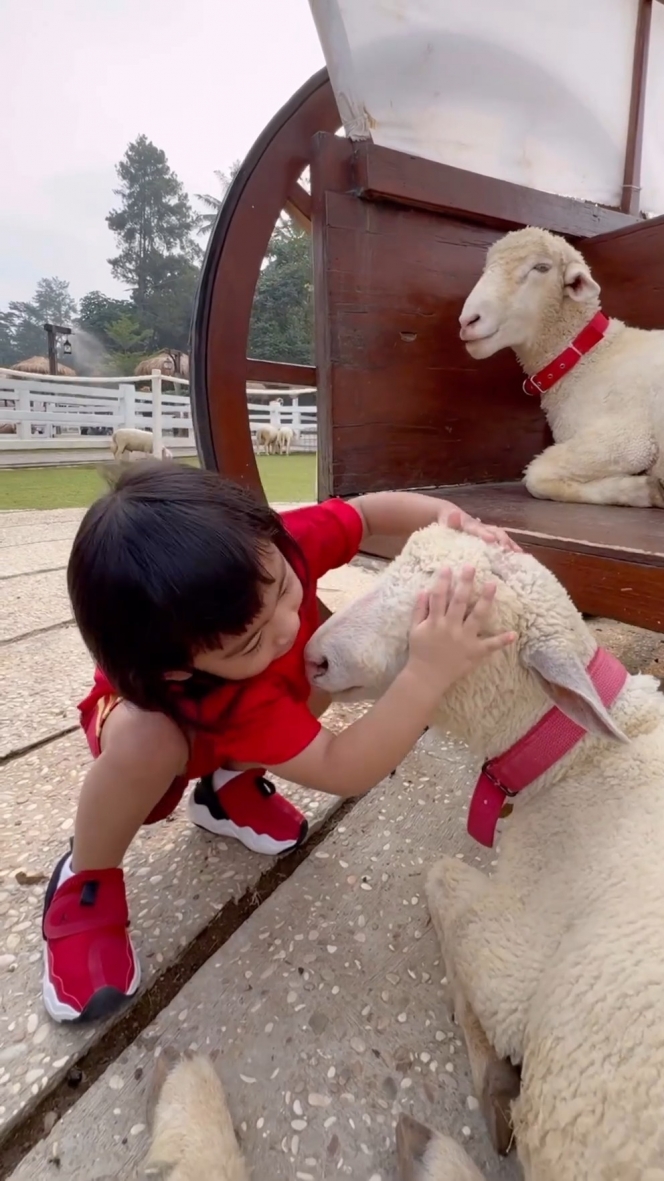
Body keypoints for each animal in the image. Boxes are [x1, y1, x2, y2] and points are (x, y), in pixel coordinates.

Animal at [307, 526, 664, 1181]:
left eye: (451, 615)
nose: (313, 657)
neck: (583, 762)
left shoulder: (516, 964)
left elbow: (443, 880)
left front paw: (490, 1067)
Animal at [458, 227, 661, 510]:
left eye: (541, 267)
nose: (468, 321)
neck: (588, 359)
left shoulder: (630, 438)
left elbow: (536, 474)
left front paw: (645, 489)